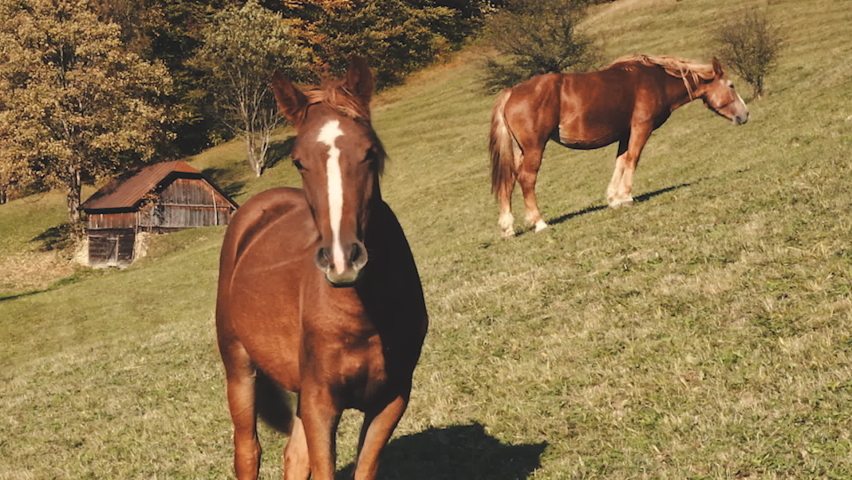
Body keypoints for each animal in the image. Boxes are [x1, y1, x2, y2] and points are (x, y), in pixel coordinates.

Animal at [215, 56, 428, 480]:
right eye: (298, 161)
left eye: (369, 151)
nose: (343, 260)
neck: (364, 315)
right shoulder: (320, 403)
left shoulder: (392, 399)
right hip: (238, 367)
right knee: (248, 450)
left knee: (293, 457)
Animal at [490, 55, 750, 238]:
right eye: (731, 85)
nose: (745, 115)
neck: (656, 80)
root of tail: (511, 92)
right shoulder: (641, 128)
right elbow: (633, 159)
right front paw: (626, 196)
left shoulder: (625, 133)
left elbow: (621, 161)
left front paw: (613, 198)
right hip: (534, 148)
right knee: (526, 179)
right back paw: (539, 222)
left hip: (519, 151)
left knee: (509, 181)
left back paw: (507, 227)